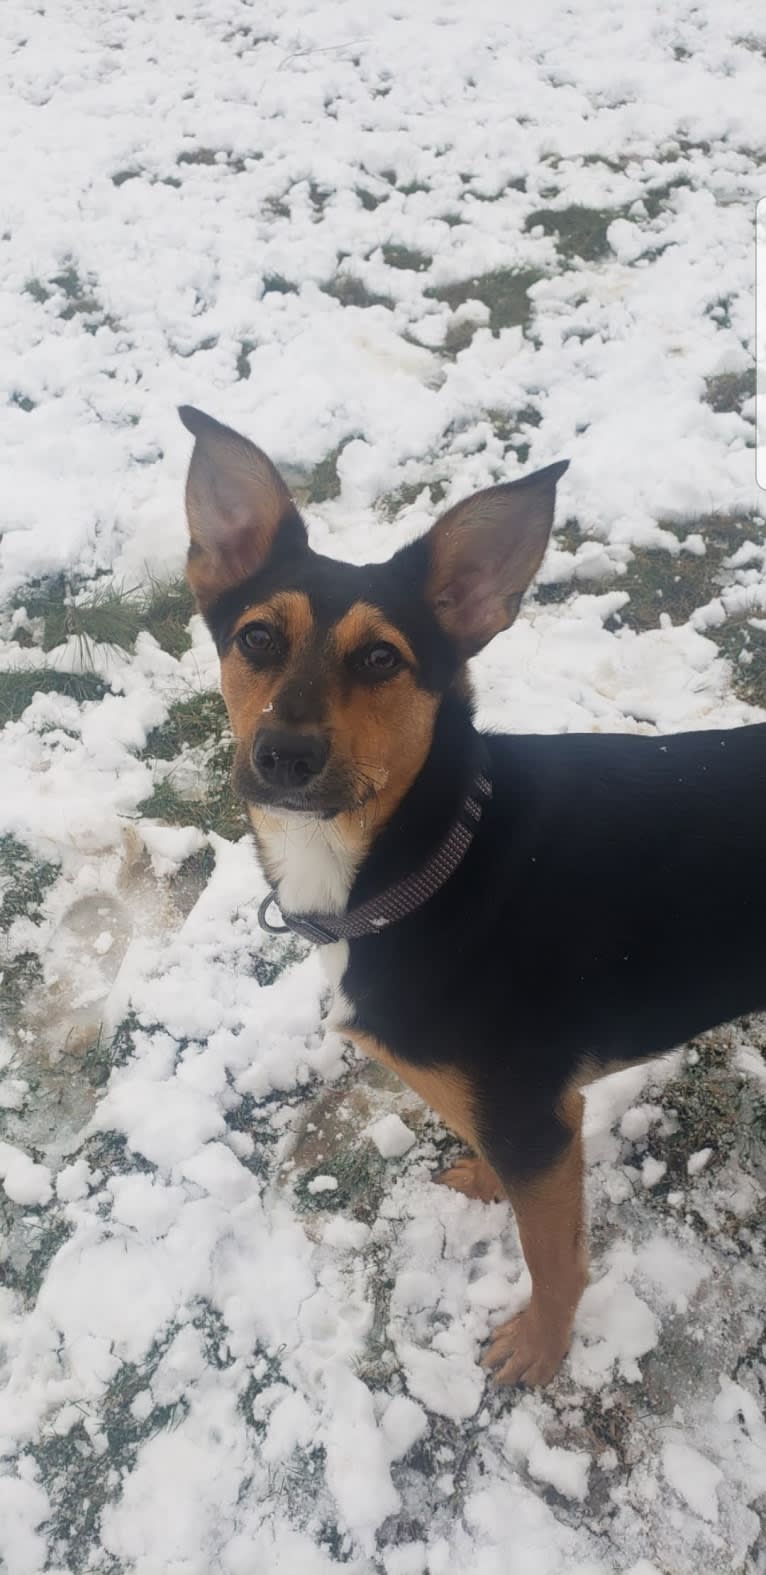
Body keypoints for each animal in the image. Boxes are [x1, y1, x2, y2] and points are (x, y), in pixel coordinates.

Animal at [178, 409, 766, 1392]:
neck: (424, 859)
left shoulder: (535, 1119)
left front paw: (540, 1347)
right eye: (256, 636)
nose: (284, 755)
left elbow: (554, 1257)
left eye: (383, 657)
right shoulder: (523, 1118)